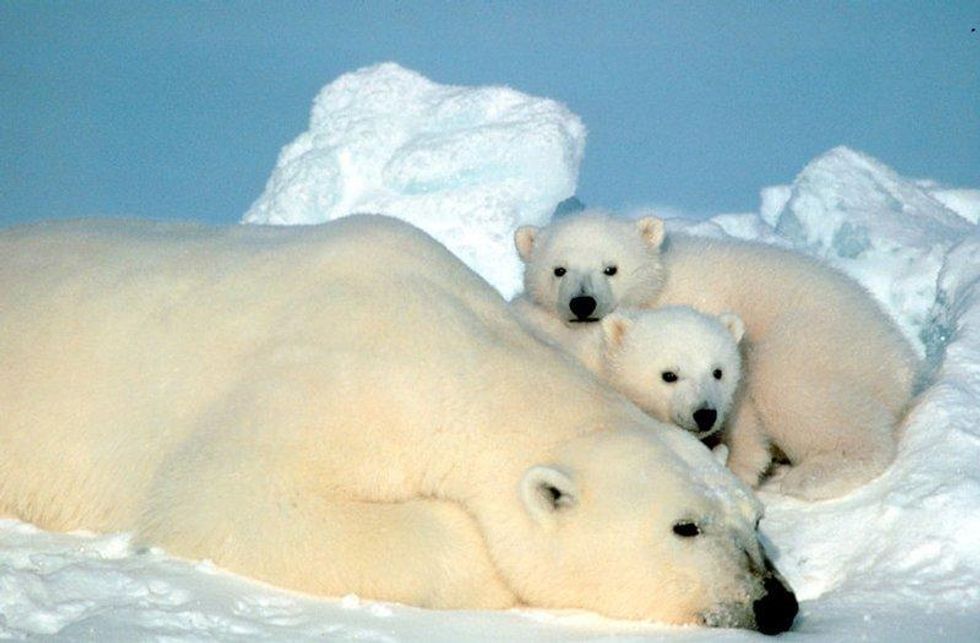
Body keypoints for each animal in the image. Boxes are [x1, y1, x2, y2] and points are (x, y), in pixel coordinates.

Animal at [512, 210, 920, 500]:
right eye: (559, 269)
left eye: (610, 268)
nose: (583, 303)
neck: (660, 286)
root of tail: (901, 358)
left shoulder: (705, 304)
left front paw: (737, 465)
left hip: (820, 340)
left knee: (797, 389)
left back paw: (816, 475)